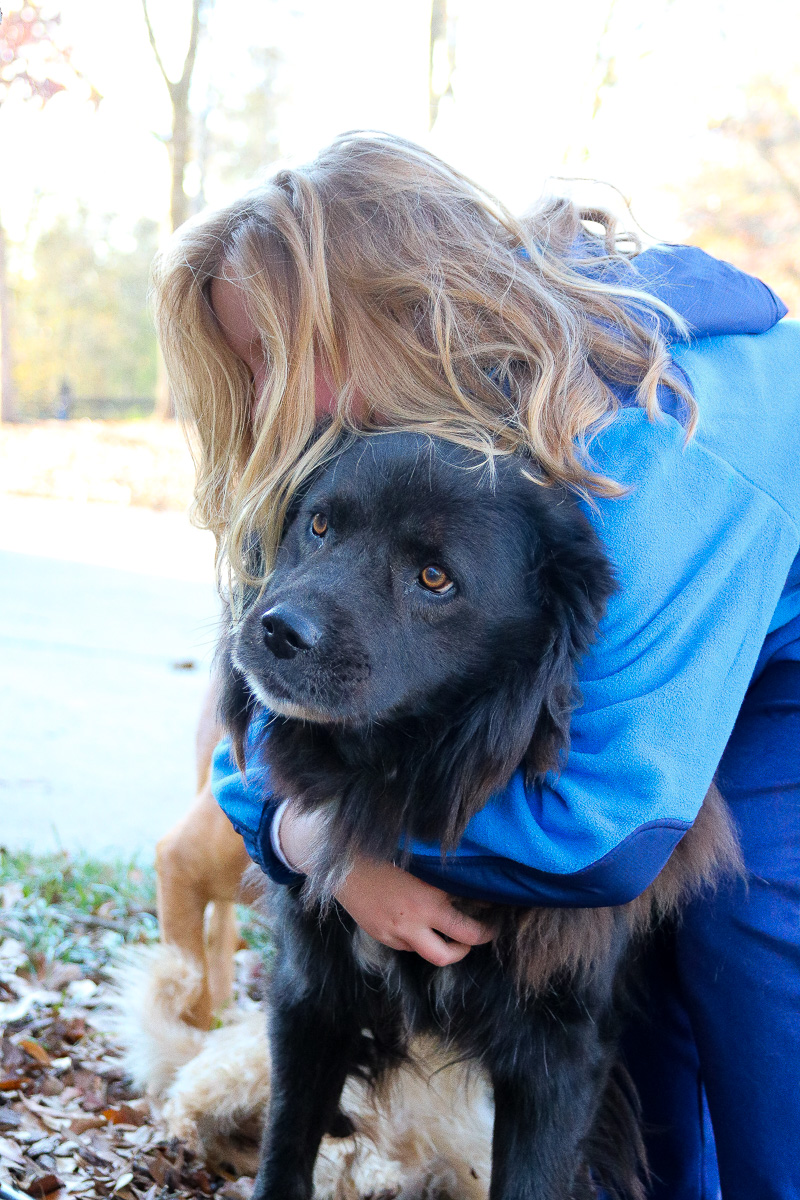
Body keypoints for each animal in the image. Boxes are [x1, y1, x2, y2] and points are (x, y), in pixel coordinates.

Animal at [217, 436, 738, 1200]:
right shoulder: (312, 995)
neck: (404, 776)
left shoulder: (562, 1056)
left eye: (435, 578)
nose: (277, 630)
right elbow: (285, 1153)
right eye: (319, 526)